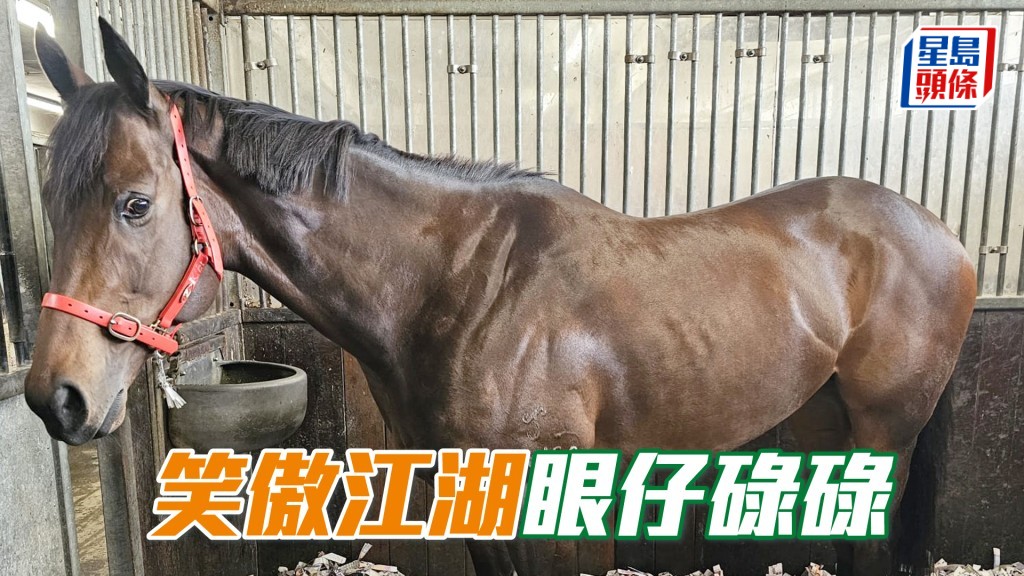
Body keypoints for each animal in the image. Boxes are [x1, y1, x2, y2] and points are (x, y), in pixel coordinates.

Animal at [24, 20, 976, 576]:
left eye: (134, 203)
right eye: (50, 201)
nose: (54, 397)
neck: (459, 285)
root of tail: (939, 232)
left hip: (886, 429)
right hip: (822, 423)